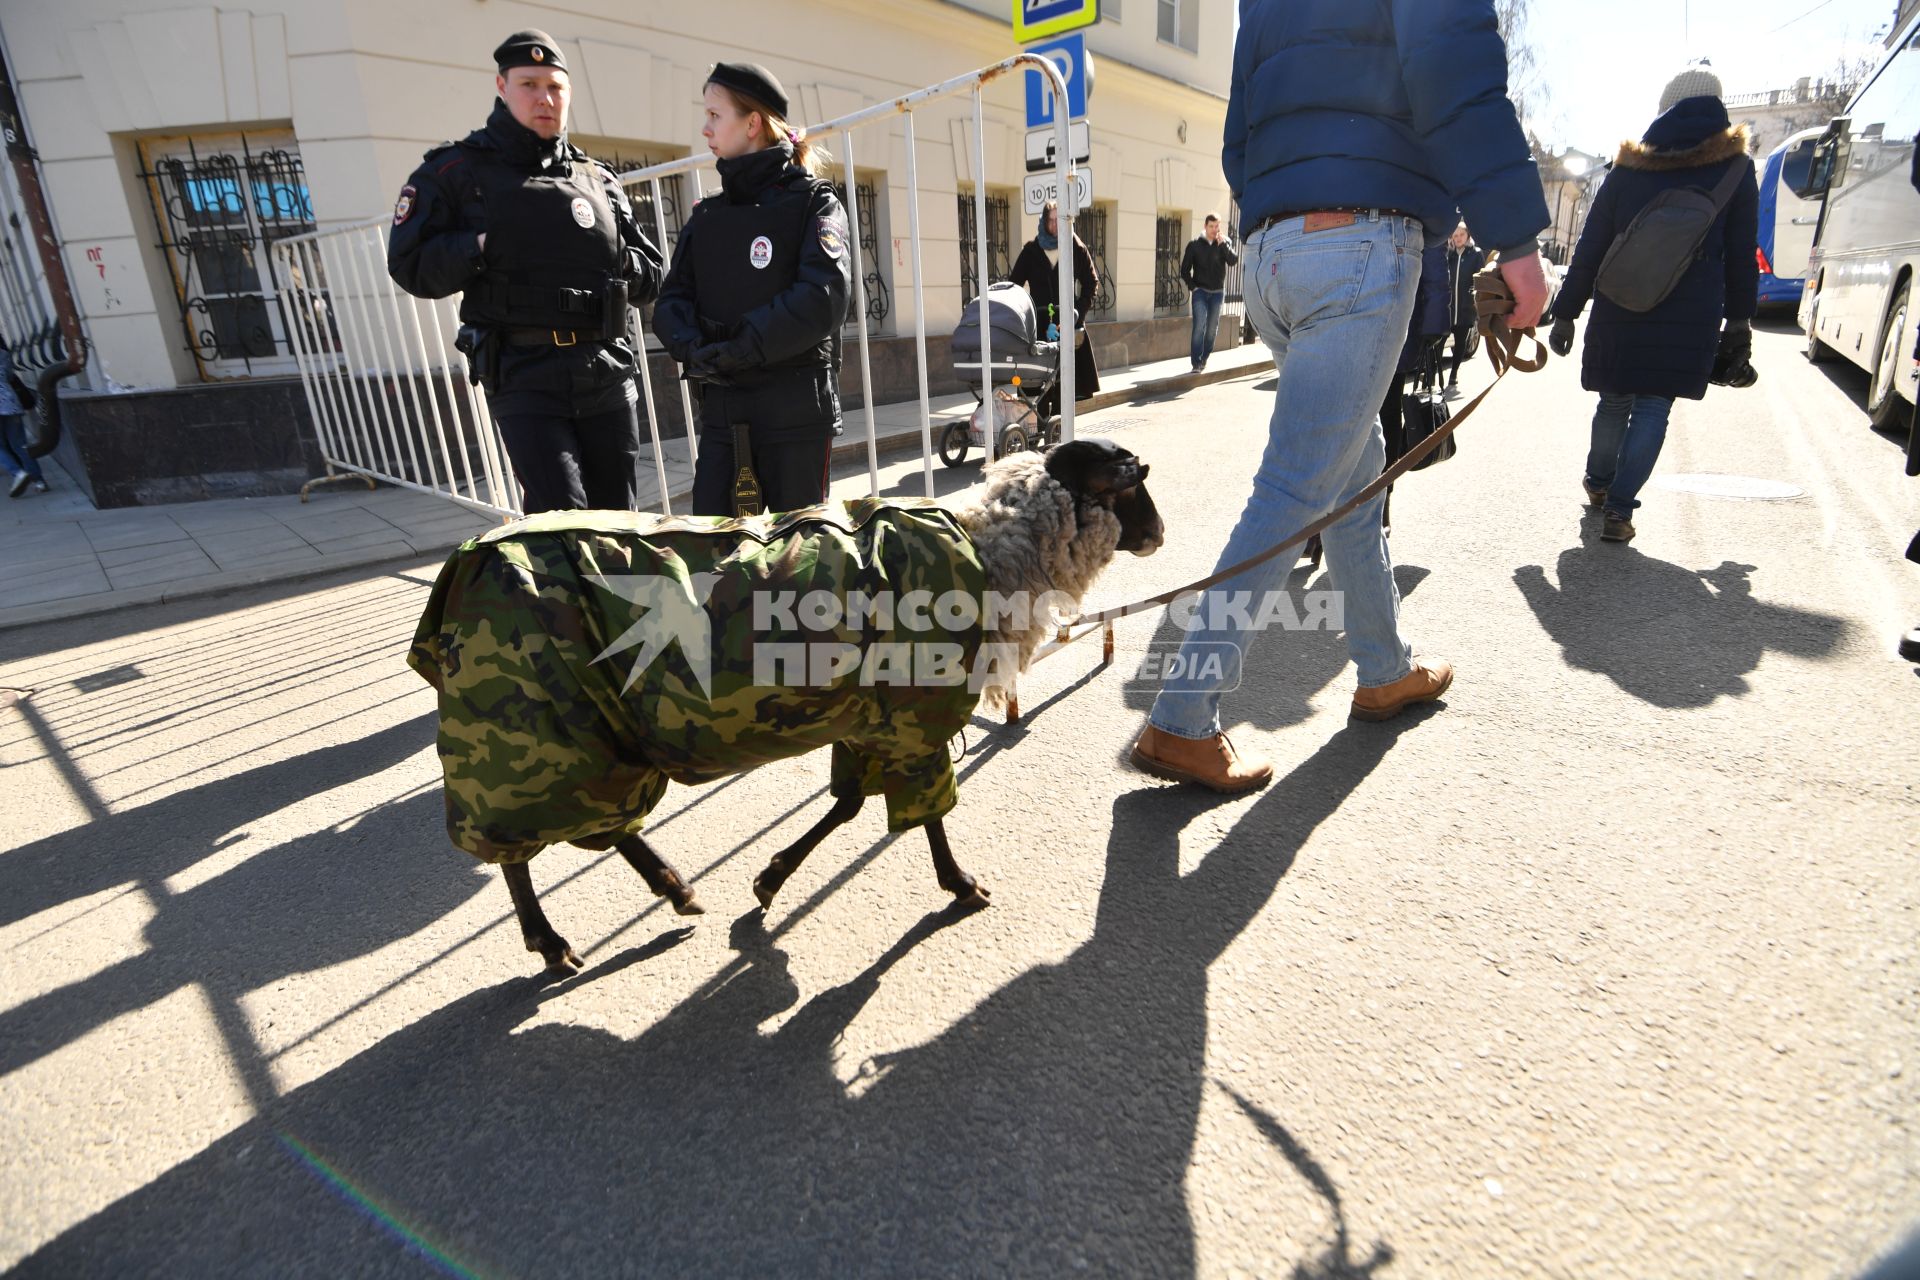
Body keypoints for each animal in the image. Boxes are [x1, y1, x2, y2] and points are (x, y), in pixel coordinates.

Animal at [407, 437, 1159, 971]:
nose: (1158, 534)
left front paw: (770, 881)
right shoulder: (914, 720)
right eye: (1132, 479)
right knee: (517, 846)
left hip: (592, 730)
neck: (985, 550)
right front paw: (960, 885)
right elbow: (926, 814)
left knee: (605, 823)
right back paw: (552, 943)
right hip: (533, 727)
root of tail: (464, 562)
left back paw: (675, 890)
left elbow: (847, 804)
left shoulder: (870, 717)